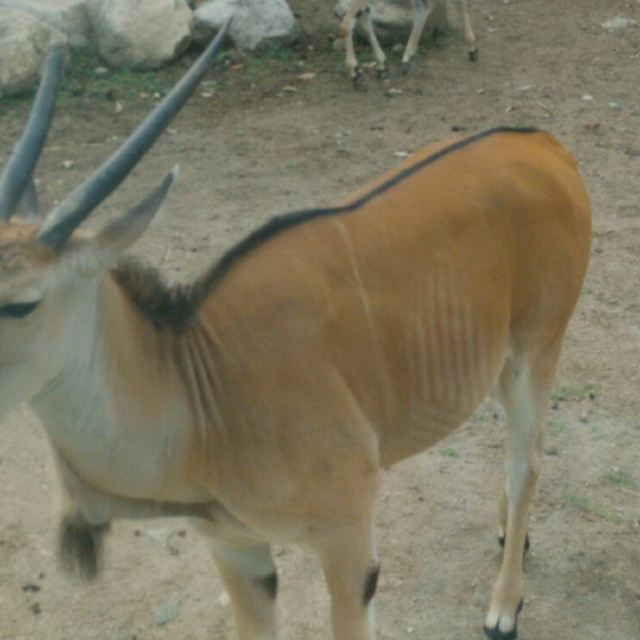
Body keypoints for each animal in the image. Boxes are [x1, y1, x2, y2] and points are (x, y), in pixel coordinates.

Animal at [0, 23, 592, 640]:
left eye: (20, 304)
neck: (201, 389)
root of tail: (545, 146)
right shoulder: (235, 549)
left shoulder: (348, 540)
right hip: (497, 360)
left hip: (538, 348)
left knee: (527, 462)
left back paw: (504, 606)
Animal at [342, 0, 478, 84]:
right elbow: (362, 20)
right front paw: (382, 66)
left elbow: (346, 24)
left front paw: (355, 73)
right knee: (422, 7)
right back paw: (407, 60)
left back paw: (473, 49)